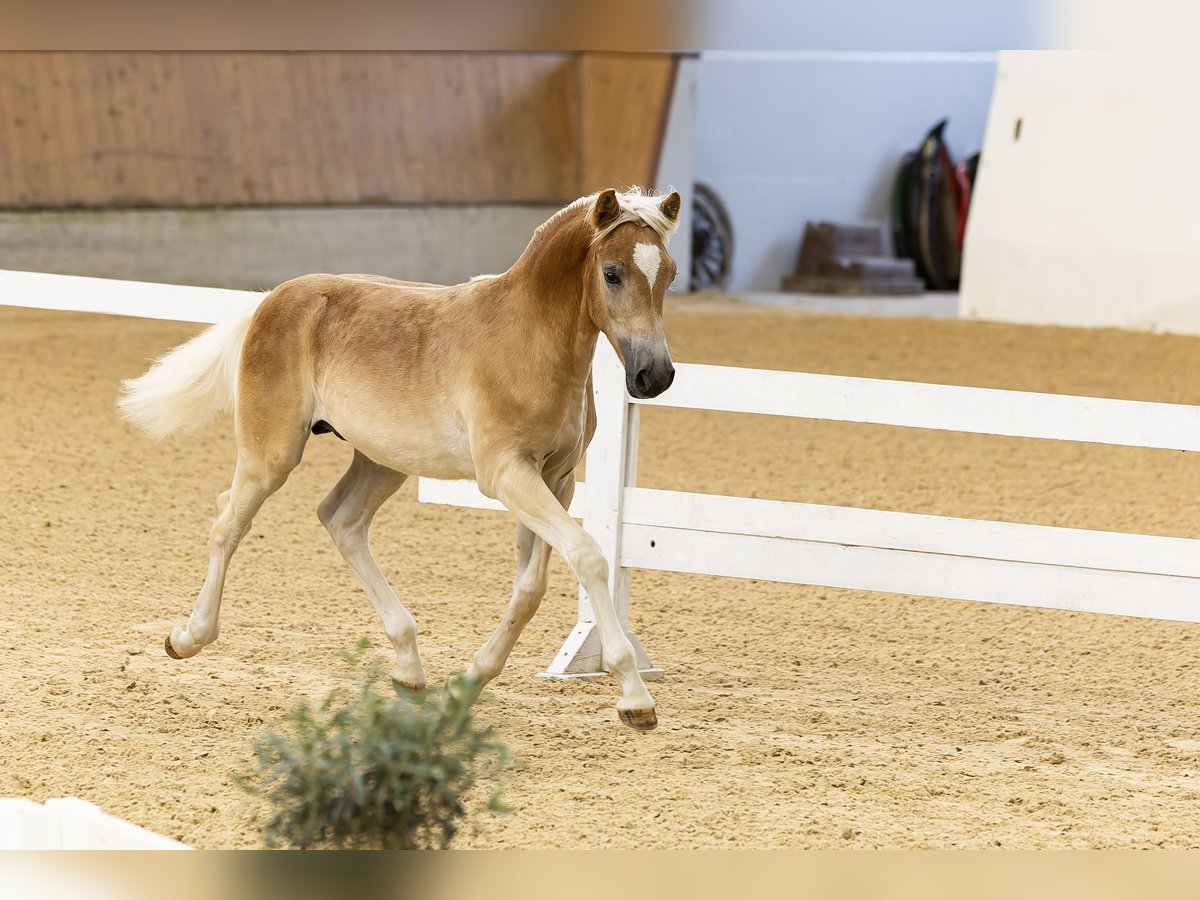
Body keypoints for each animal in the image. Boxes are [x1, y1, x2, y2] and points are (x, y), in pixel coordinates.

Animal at [124, 187, 686, 729]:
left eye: (671, 273)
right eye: (612, 273)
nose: (654, 376)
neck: (526, 340)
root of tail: (272, 299)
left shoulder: (557, 478)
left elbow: (531, 587)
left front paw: (469, 681)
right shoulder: (506, 473)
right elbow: (588, 556)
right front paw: (635, 698)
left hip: (382, 461)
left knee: (341, 519)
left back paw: (409, 669)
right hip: (274, 454)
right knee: (228, 523)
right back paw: (186, 638)